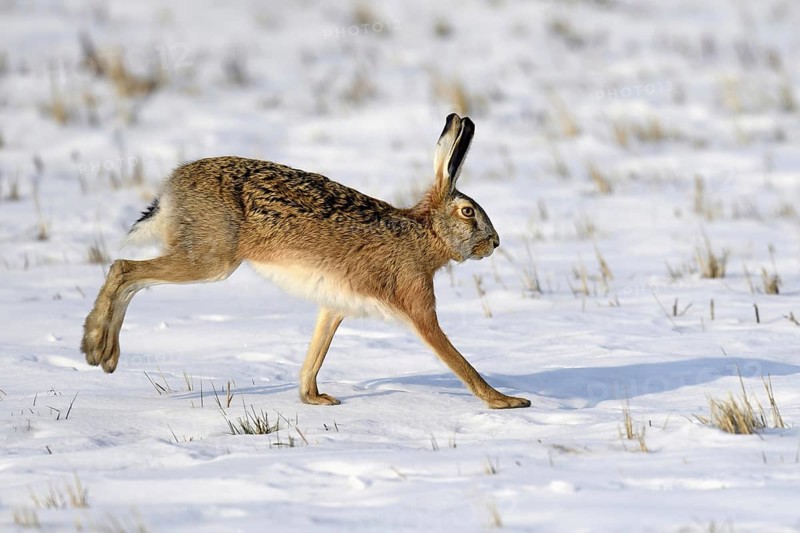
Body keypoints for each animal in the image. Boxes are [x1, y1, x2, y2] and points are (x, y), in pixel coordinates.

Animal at [81, 113, 531, 409]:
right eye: (468, 212)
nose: (494, 242)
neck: (425, 235)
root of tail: (172, 188)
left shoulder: (334, 306)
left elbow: (316, 353)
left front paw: (314, 399)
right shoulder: (417, 302)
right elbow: (455, 357)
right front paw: (505, 401)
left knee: (127, 272)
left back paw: (100, 350)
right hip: (212, 259)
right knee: (123, 268)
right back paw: (98, 349)